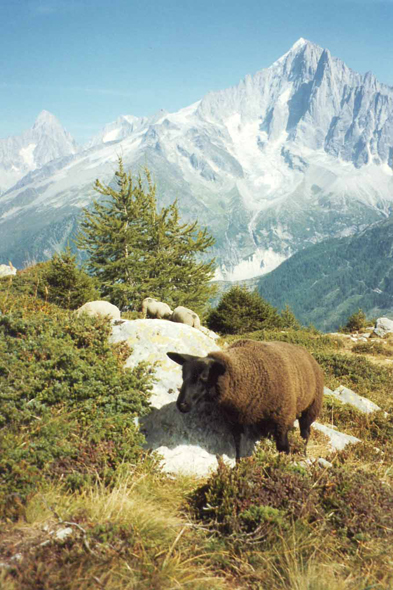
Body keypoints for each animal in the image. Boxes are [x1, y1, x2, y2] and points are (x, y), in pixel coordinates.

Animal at [165, 342, 322, 462]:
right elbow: (238, 445)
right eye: (183, 374)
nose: (181, 404)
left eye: (204, 376)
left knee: (305, 433)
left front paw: (283, 465)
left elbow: (283, 448)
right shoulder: (236, 420)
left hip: (311, 408)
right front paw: (239, 464)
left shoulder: (283, 418)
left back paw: (303, 453)